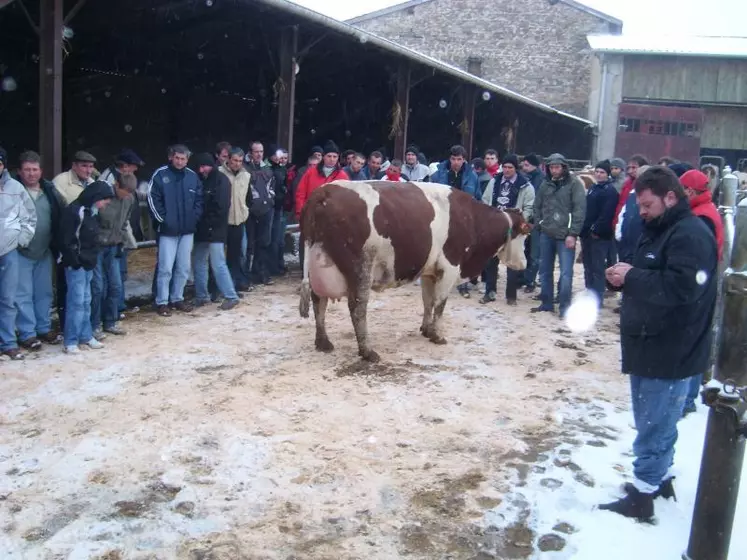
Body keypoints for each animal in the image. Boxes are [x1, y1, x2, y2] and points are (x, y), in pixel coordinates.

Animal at [298, 180, 532, 364]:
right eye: (524, 234)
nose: (524, 264)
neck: (472, 219)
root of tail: (324, 192)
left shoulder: (430, 271)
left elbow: (428, 301)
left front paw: (426, 329)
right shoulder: (450, 267)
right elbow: (440, 304)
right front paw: (437, 335)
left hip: (319, 264)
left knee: (318, 301)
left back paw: (323, 341)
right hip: (360, 267)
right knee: (357, 307)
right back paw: (367, 351)